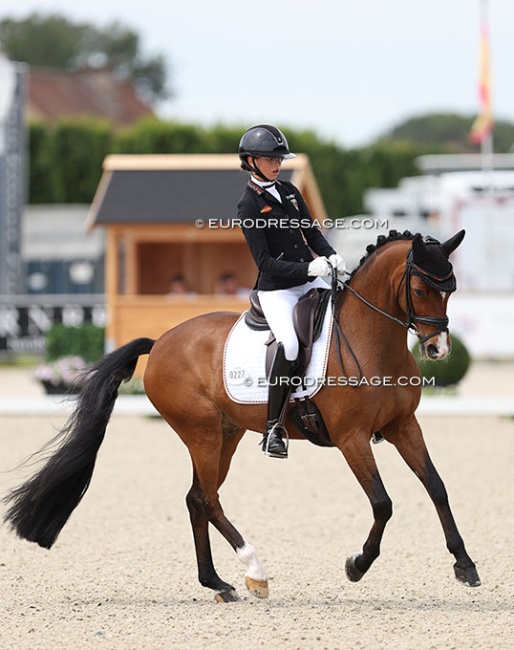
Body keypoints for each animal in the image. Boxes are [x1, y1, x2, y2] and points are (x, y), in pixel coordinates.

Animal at [3, 229, 481, 602]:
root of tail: (161, 342)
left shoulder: (403, 426)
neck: (370, 338)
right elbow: (383, 503)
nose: (439, 350)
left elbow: (437, 487)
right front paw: (357, 565)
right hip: (201, 433)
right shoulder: (352, 437)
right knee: (208, 499)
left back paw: (216, 582)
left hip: (225, 434)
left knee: (197, 497)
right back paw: (255, 571)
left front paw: (465, 564)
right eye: (419, 290)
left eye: (451, 288)